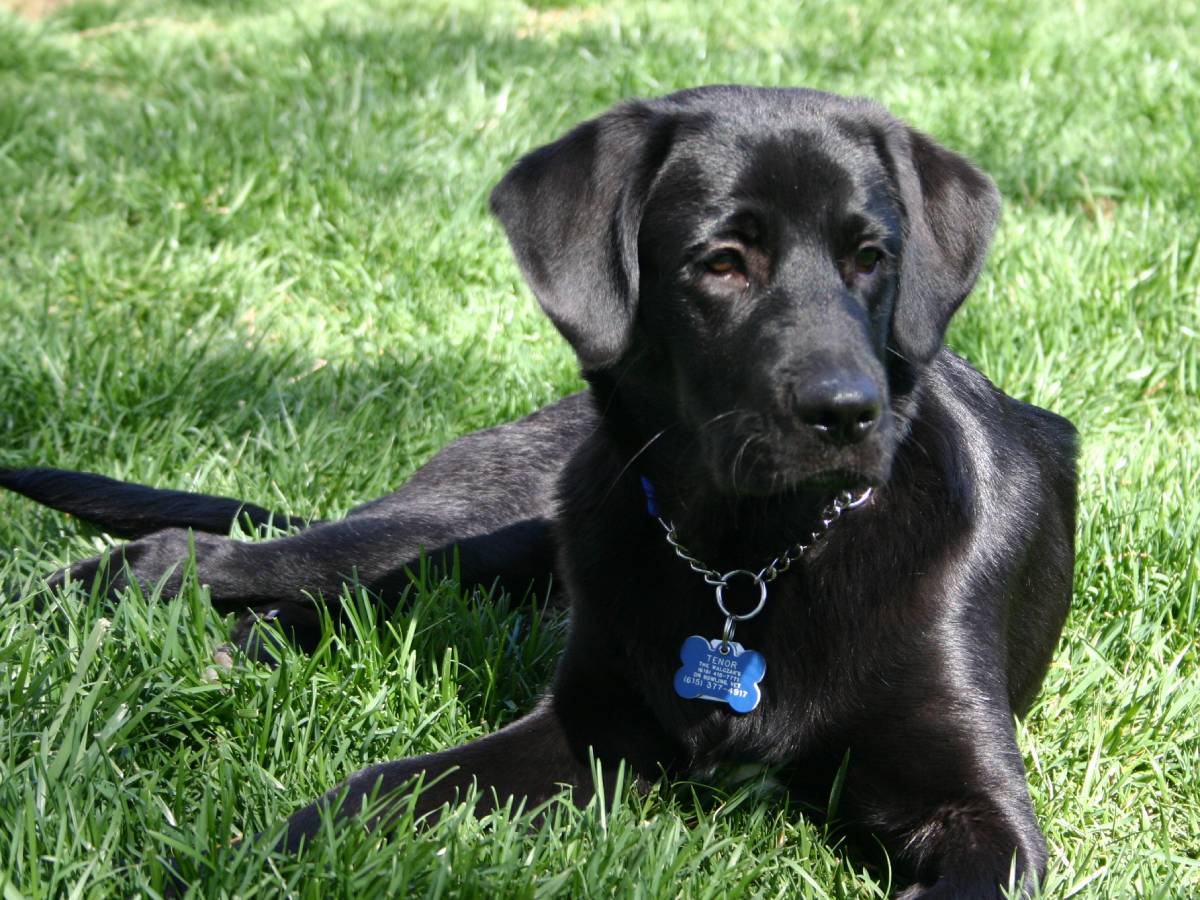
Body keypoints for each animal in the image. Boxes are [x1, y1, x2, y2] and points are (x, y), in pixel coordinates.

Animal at [0, 86, 1075, 900]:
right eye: (723, 262)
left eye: (871, 258)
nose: (848, 413)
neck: (750, 561)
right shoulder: (587, 723)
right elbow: (377, 786)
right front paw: (253, 857)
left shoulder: (979, 807)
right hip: (450, 533)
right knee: (201, 554)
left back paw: (236, 653)